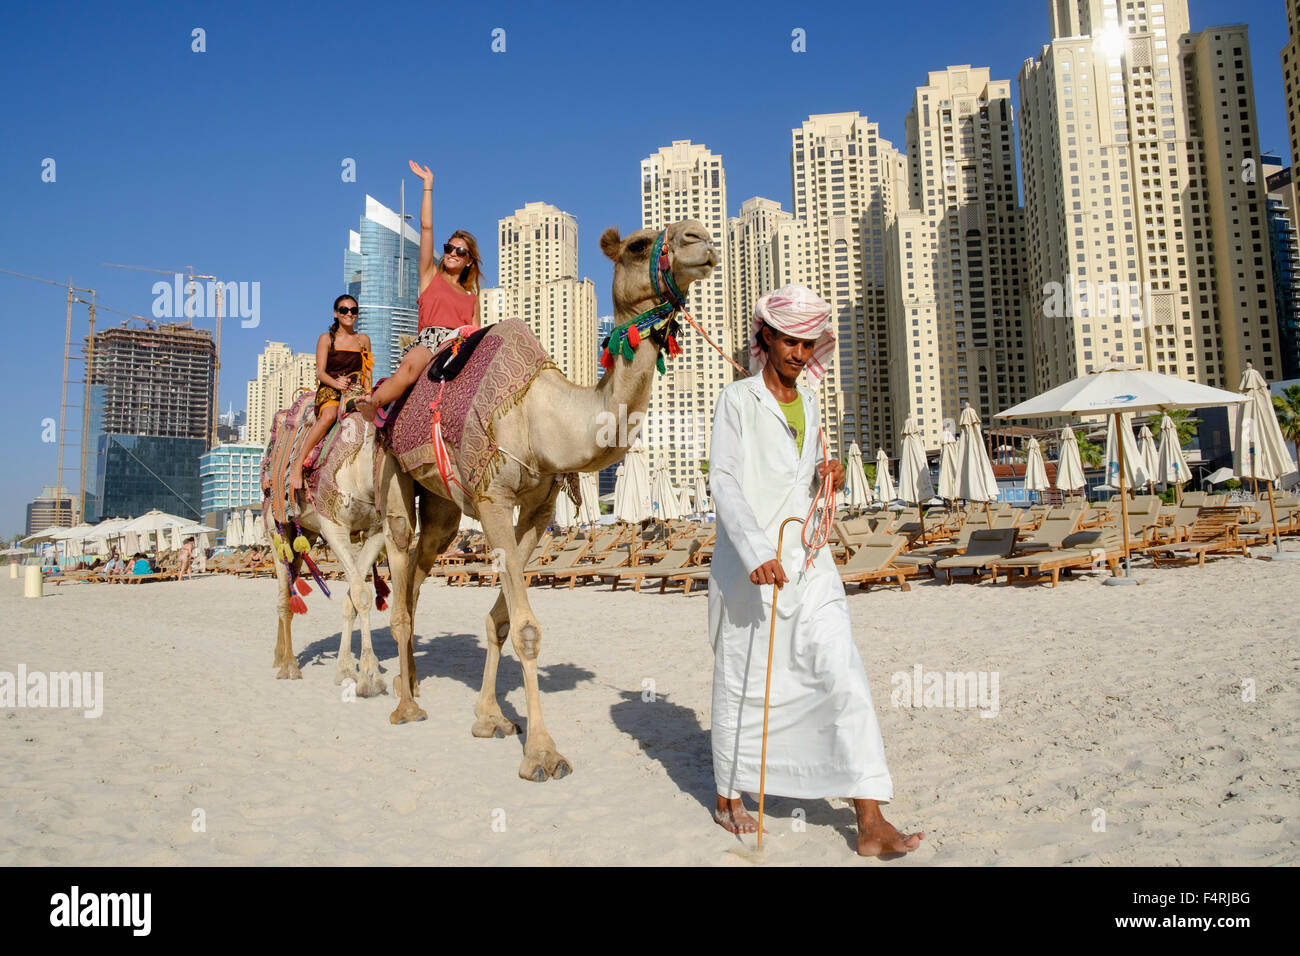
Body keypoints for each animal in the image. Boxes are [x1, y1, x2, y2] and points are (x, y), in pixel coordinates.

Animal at [262, 392, 384, 697]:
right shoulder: (333, 526)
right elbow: (361, 594)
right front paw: (370, 676)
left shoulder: (376, 531)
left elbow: (354, 597)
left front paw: (346, 670)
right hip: (275, 528)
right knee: (284, 596)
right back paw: (289, 665)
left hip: (303, 532)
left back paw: (279, 655)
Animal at [377, 221, 722, 780]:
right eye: (638, 245)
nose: (701, 238)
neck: (544, 416)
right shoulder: (492, 497)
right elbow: (526, 629)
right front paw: (542, 753)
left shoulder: (538, 508)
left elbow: (500, 621)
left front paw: (490, 718)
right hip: (392, 471)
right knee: (400, 560)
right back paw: (404, 704)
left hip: (444, 508)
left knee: (417, 577)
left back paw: (409, 684)